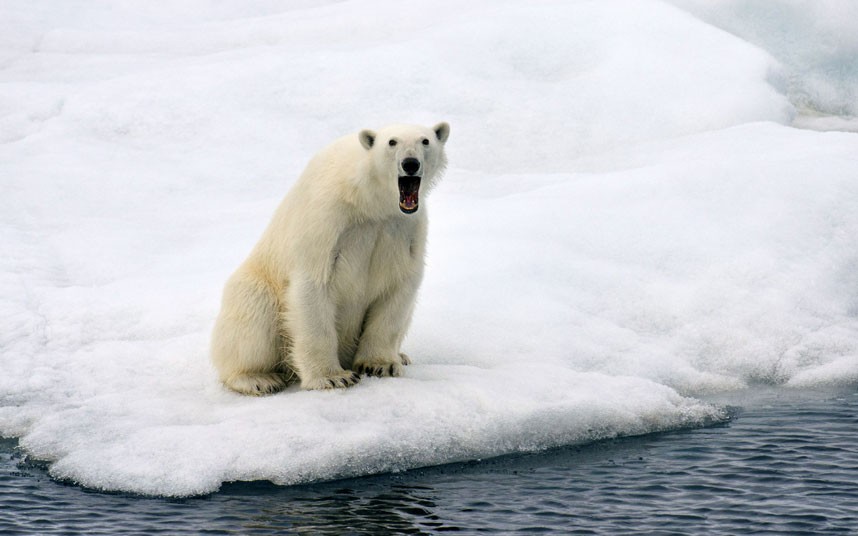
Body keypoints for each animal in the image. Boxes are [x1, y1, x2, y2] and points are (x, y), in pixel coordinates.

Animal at [209, 122, 448, 394]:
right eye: (392, 142)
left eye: (425, 141)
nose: (410, 163)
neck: (367, 200)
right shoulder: (328, 219)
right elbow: (314, 285)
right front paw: (333, 377)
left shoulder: (404, 230)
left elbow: (398, 290)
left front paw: (380, 364)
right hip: (257, 283)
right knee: (253, 314)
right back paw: (259, 379)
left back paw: (403, 355)